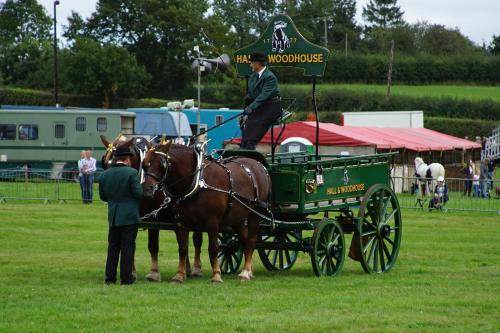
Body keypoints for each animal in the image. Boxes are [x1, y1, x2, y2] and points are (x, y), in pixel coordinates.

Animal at [99, 134, 203, 280]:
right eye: (105, 163)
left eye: (117, 163)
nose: (108, 188)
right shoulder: (135, 219)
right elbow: (131, 244)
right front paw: (132, 272)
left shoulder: (154, 220)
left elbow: (153, 245)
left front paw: (154, 272)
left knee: (197, 241)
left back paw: (196, 269)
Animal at [141, 140, 274, 282]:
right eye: (145, 164)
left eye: (162, 163)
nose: (147, 189)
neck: (198, 182)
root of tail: (260, 166)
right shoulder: (181, 222)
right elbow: (183, 248)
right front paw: (179, 275)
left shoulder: (212, 222)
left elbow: (213, 248)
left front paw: (216, 275)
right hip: (237, 217)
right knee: (244, 240)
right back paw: (249, 271)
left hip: (255, 213)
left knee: (251, 241)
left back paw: (245, 272)